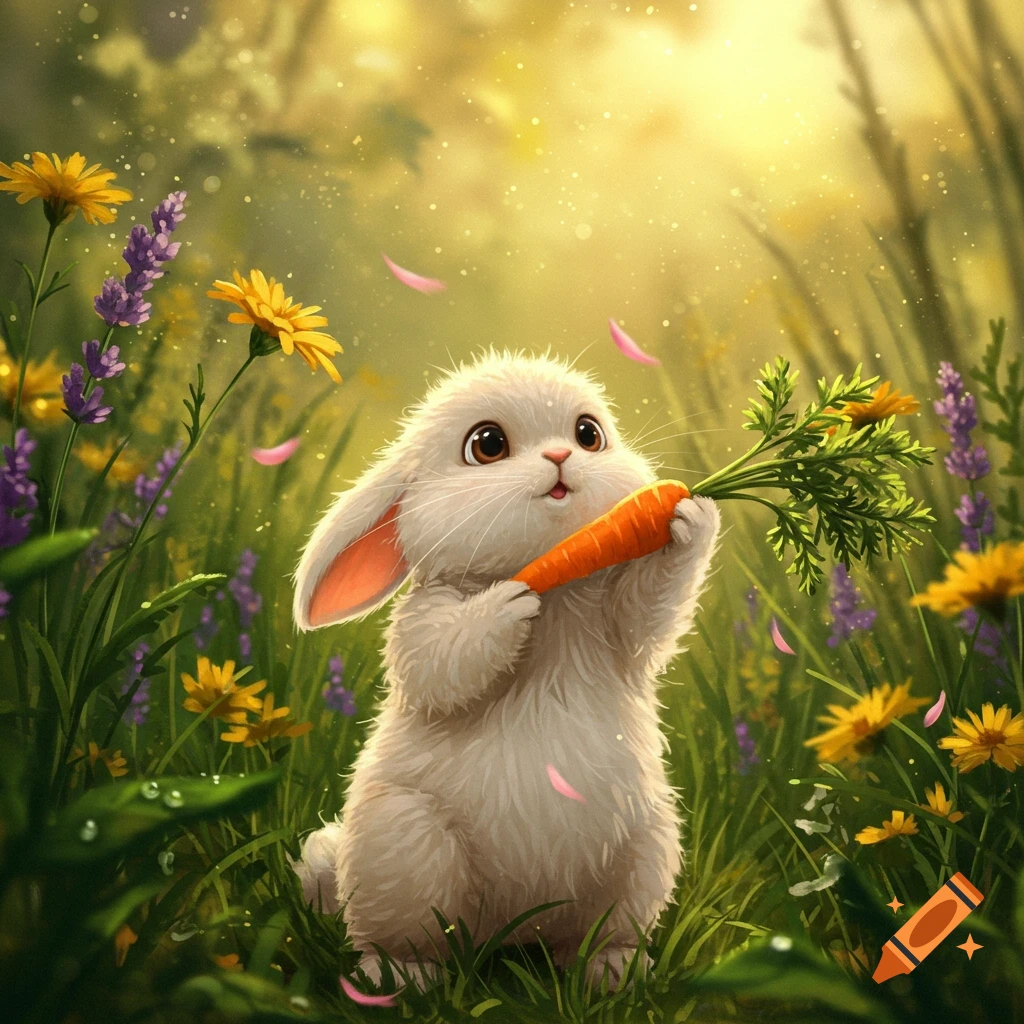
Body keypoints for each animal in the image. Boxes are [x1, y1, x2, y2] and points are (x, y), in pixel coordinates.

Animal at [291, 350, 721, 990]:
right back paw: (402, 976)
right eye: (487, 445)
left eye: (589, 434)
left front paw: (693, 517)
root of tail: (516, 930)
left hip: (645, 844)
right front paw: (510, 603)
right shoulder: (425, 622)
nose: (561, 457)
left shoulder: (621, 628)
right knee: (409, 933)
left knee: (593, 934)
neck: (560, 585)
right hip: (404, 843)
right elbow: (442, 662)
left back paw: (613, 968)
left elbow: (651, 610)